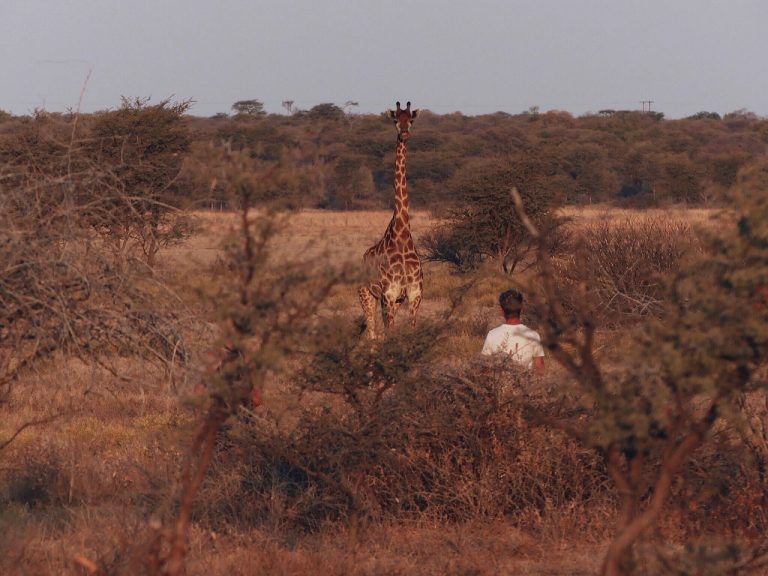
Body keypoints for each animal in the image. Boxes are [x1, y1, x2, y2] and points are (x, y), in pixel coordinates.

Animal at [360, 101, 426, 340]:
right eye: (396, 119)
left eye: (411, 119)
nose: (404, 133)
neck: (403, 236)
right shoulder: (388, 295)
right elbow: (389, 334)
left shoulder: (413, 295)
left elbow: (412, 330)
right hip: (366, 295)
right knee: (371, 334)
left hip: (393, 302)